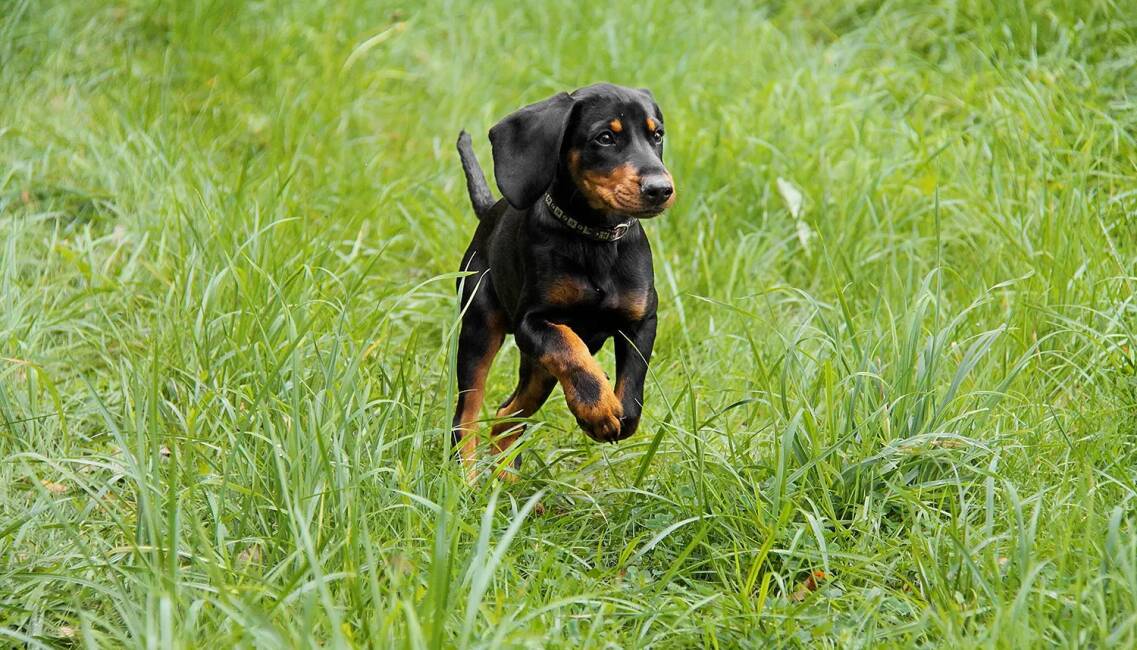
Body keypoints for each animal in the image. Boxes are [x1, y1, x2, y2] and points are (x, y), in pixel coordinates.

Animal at [445, 82, 673, 481]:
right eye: (605, 138)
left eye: (656, 135)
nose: (660, 189)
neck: (594, 238)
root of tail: (490, 212)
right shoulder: (533, 322)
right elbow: (570, 349)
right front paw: (597, 409)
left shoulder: (641, 320)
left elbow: (632, 395)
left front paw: (607, 412)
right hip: (479, 326)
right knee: (468, 415)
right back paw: (468, 481)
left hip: (538, 370)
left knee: (506, 414)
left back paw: (505, 478)